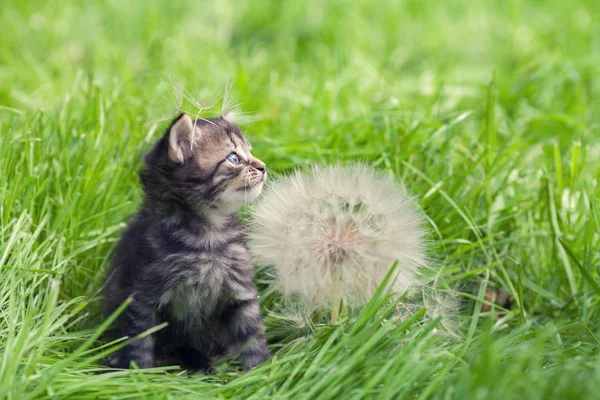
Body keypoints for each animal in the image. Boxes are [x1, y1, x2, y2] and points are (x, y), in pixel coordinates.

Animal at [102, 112, 270, 372]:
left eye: (250, 152)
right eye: (234, 158)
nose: (263, 167)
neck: (207, 236)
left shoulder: (241, 287)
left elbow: (252, 333)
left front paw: (261, 371)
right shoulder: (142, 294)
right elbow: (140, 338)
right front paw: (138, 371)